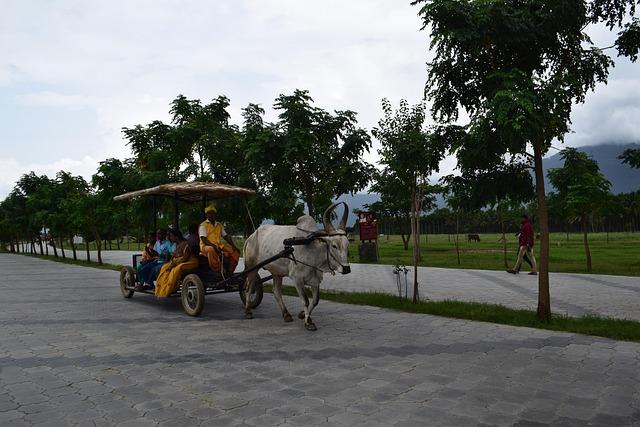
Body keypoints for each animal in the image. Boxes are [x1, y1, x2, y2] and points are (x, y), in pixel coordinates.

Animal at [242, 203, 350, 332]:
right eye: (334, 245)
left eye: (347, 245)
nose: (346, 269)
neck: (312, 249)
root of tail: (251, 236)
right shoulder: (297, 279)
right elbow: (306, 300)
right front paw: (309, 322)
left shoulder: (316, 280)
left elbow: (315, 301)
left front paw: (302, 314)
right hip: (252, 267)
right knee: (249, 287)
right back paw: (248, 311)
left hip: (276, 272)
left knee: (276, 292)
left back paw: (286, 314)